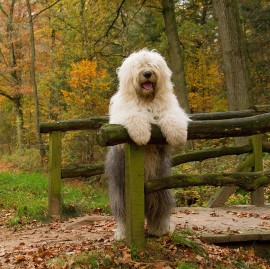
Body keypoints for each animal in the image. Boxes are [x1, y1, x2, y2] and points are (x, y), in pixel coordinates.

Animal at [104, 48, 189, 239]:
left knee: (159, 210)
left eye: (152, 65)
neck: (146, 100)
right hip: (122, 192)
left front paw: (178, 135)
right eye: (139, 66)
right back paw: (122, 233)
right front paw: (141, 135)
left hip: (161, 189)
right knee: (123, 215)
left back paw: (159, 229)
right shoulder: (125, 114)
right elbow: (133, 116)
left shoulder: (168, 108)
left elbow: (172, 115)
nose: (148, 73)